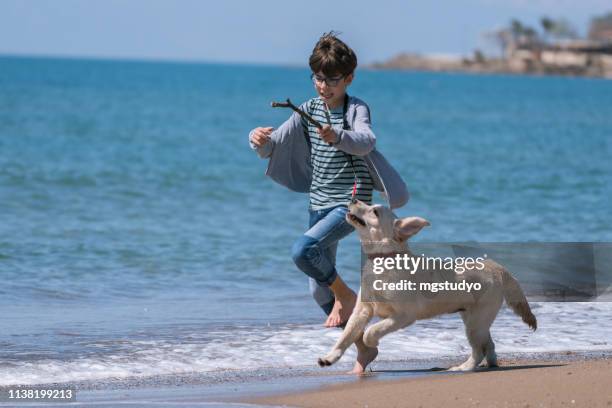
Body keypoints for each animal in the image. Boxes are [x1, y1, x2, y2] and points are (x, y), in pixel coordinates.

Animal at [318, 199, 536, 374]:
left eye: (375, 212)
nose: (353, 199)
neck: (384, 260)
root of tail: (498, 268)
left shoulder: (404, 315)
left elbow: (372, 331)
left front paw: (370, 342)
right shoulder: (362, 310)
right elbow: (346, 336)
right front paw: (330, 357)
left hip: (476, 321)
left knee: (479, 349)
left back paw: (463, 367)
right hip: (474, 319)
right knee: (488, 344)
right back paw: (490, 364)